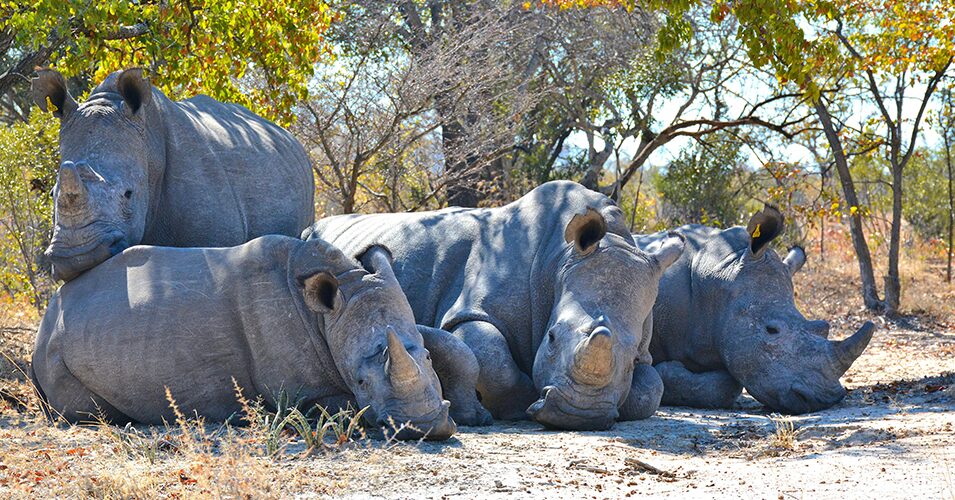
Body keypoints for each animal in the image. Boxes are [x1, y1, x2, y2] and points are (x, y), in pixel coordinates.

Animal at [31, 235, 457, 440]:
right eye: (362, 381)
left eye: (428, 360)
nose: (426, 427)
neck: (326, 316)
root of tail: (48, 315)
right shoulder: (302, 392)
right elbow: (342, 406)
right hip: (54, 351)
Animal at [303, 181, 685, 430]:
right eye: (551, 338)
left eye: (632, 357)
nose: (578, 415)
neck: (561, 260)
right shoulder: (470, 309)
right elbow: (491, 359)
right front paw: (515, 406)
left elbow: (652, 388)